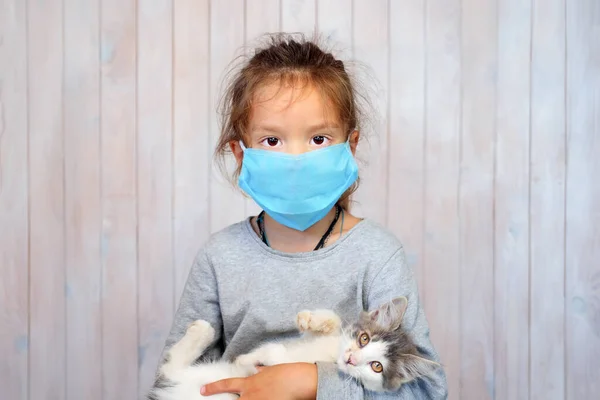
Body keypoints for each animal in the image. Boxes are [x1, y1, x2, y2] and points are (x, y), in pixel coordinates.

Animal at [149, 296, 440, 400]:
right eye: (364, 339)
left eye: (377, 366)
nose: (351, 358)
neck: (329, 355)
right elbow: (334, 320)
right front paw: (310, 319)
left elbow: (277, 358)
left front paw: (261, 358)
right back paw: (202, 332)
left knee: (171, 367)